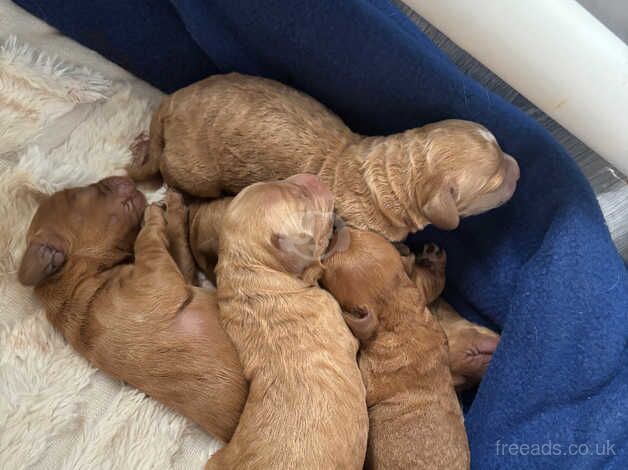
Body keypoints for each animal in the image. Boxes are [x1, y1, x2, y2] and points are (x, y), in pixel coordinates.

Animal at [17, 177, 248, 444]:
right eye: (78, 195)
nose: (124, 178)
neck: (76, 280)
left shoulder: (183, 276)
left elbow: (177, 241)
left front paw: (173, 203)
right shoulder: (158, 275)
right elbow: (146, 241)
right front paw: (152, 213)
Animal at [322, 229, 468, 470]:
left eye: (327, 265)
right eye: (358, 231)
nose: (334, 226)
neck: (399, 313)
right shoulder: (417, 293)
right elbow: (433, 284)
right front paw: (432, 258)